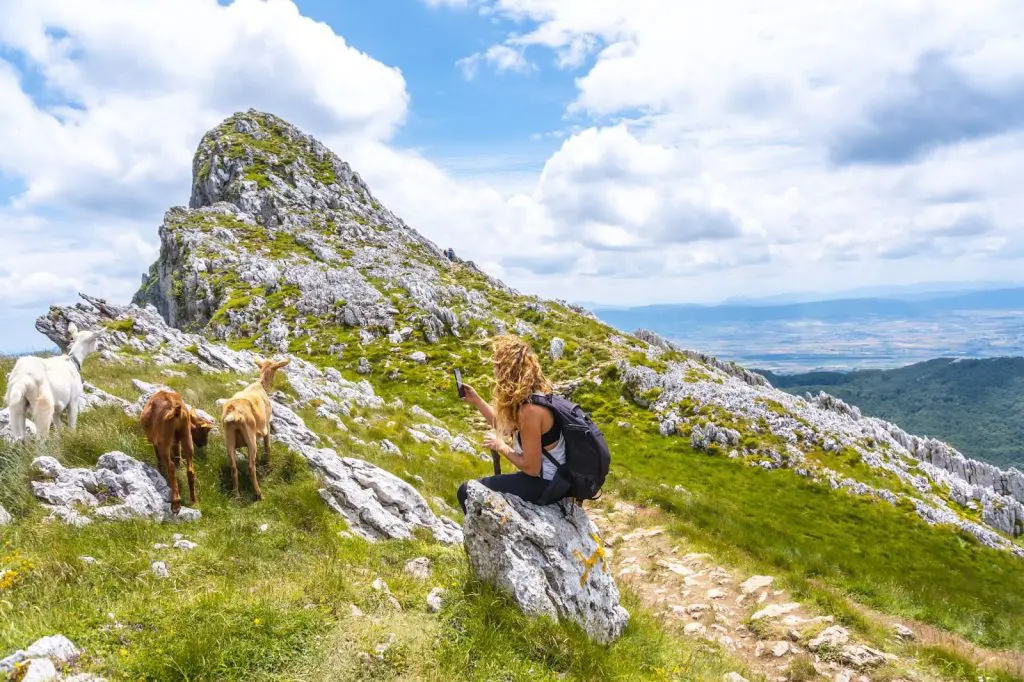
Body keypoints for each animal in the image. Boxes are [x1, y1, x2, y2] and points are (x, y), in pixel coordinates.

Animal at [220, 356, 290, 499]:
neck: (260, 386)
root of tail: (234, 413)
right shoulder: (266, 425)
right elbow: (267, 446)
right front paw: (268, 467)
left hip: (229, 438)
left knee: (233, 467)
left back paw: (236, 494)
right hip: (250, 436)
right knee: (250, 466)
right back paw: (259, 494)